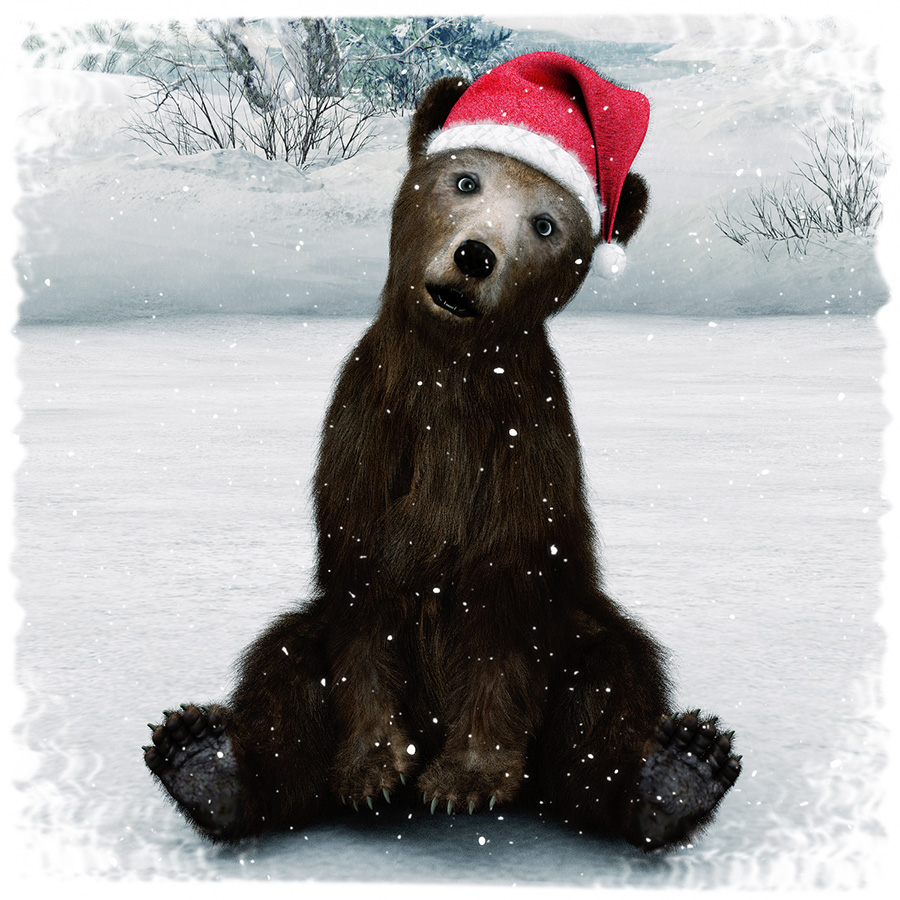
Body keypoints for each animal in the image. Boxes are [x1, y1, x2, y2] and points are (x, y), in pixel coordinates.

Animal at [143, 52, 741, 853]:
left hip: (582, 635)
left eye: (545, 223)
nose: (476, 255)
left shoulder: (521, 455)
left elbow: (503, 606)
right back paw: (205, 761)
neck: (450, 371)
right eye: (465, 180)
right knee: (283, 666)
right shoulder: (369, 437)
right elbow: (361, 600)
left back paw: (677, 772)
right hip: (304, 643)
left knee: (609, 685)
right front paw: (370, 770)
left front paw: (465, 778)